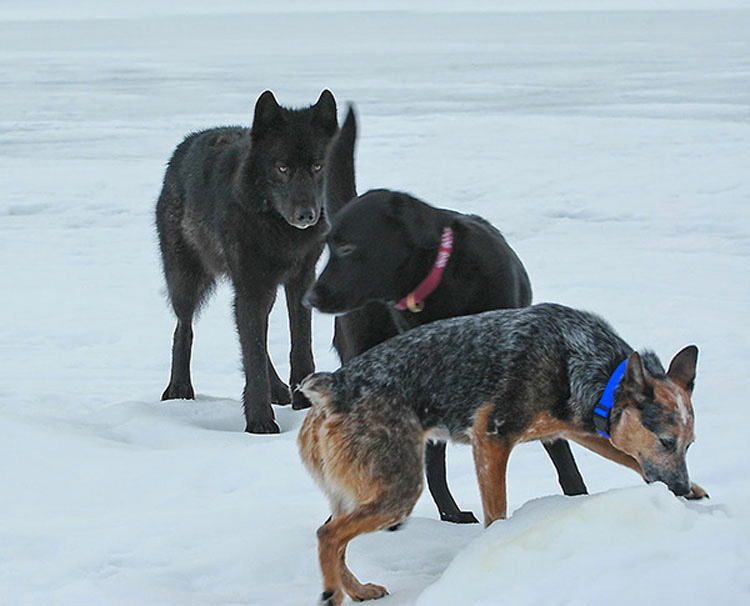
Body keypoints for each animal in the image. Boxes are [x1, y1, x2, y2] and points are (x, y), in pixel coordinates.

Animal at [157, 89, 340, 432]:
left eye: (317, 166)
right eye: (282, 168)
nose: (306, 215)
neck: (278, 229)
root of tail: (186, 143)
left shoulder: (300, 280)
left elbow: (299, 346)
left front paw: (304, 403)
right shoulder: (252, 287)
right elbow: (252, 352)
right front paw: (259, 421)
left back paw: (279, 389)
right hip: (187, 282)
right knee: (183, 328)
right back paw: (179, 390)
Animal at [296, 306, 708, 604]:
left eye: (689, 445)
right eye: (666, 441)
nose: (680, 489)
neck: (579, 359)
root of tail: (334, 387)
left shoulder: (579, 430)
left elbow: (631, 458)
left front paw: (696, 489)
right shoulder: (492, 436)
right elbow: (497, 513)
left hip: (368, 486)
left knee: (333, 533)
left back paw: (357, 589)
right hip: (399, 487)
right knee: (328, 534)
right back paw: (334, 594)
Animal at [304, 108, 588, 524]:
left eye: (347, 247)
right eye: (327, 245)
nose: (309, 298)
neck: (442, 278)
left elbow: (558, 449)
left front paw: (579, 499)